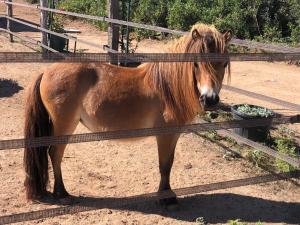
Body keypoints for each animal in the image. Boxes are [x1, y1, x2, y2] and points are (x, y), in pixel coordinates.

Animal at [24, 23, 232, 208]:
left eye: (224, 63)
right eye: (196, 64)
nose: (210, 99)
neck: (167, 87)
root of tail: (46, 71)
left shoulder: (173, 134)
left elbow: (169, 163)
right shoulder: (165, 134)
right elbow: (164, 165)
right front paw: (166, 199)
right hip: (64, 124)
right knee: (55, 153)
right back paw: (62, 194)